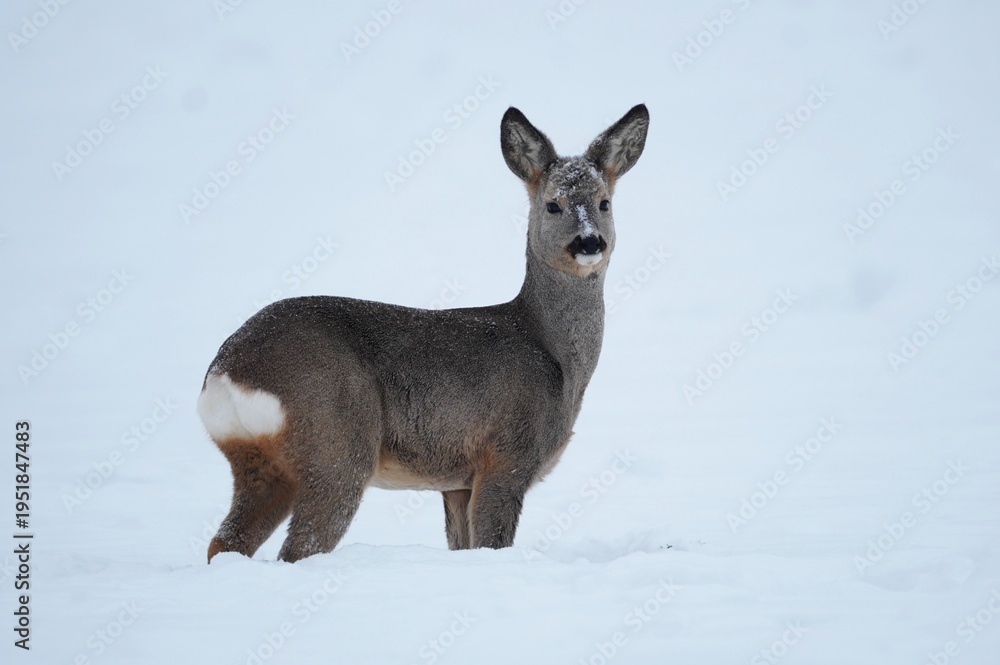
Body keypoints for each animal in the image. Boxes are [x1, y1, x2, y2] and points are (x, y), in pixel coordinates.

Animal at [197, 104, 649, 562]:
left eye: (604, 202)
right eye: (553, 205)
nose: (589, 242)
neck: (551, 351)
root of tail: (226, 371)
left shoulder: (456, 480)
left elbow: (462, 546)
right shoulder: (507, 453)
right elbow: (491, 543)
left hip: (260, 464)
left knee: (226, 542)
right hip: (336, 442)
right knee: (299, 547)